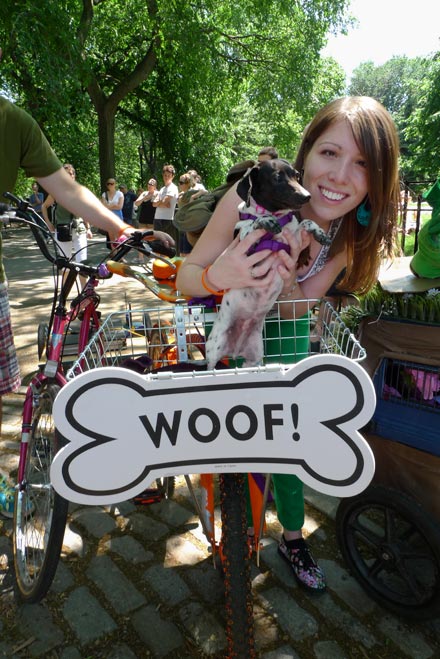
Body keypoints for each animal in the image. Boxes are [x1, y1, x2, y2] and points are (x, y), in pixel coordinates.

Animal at [206, 158, 330, 368]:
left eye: (297, 175)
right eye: (277, 177)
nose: (307, 196)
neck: (276, 214)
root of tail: (235, 351)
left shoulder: (292, 239)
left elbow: (306, 223)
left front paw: (319, 233)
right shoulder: (246, 247)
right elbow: (252, 225)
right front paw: (264, 221)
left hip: (255, 356)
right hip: (214, 348)